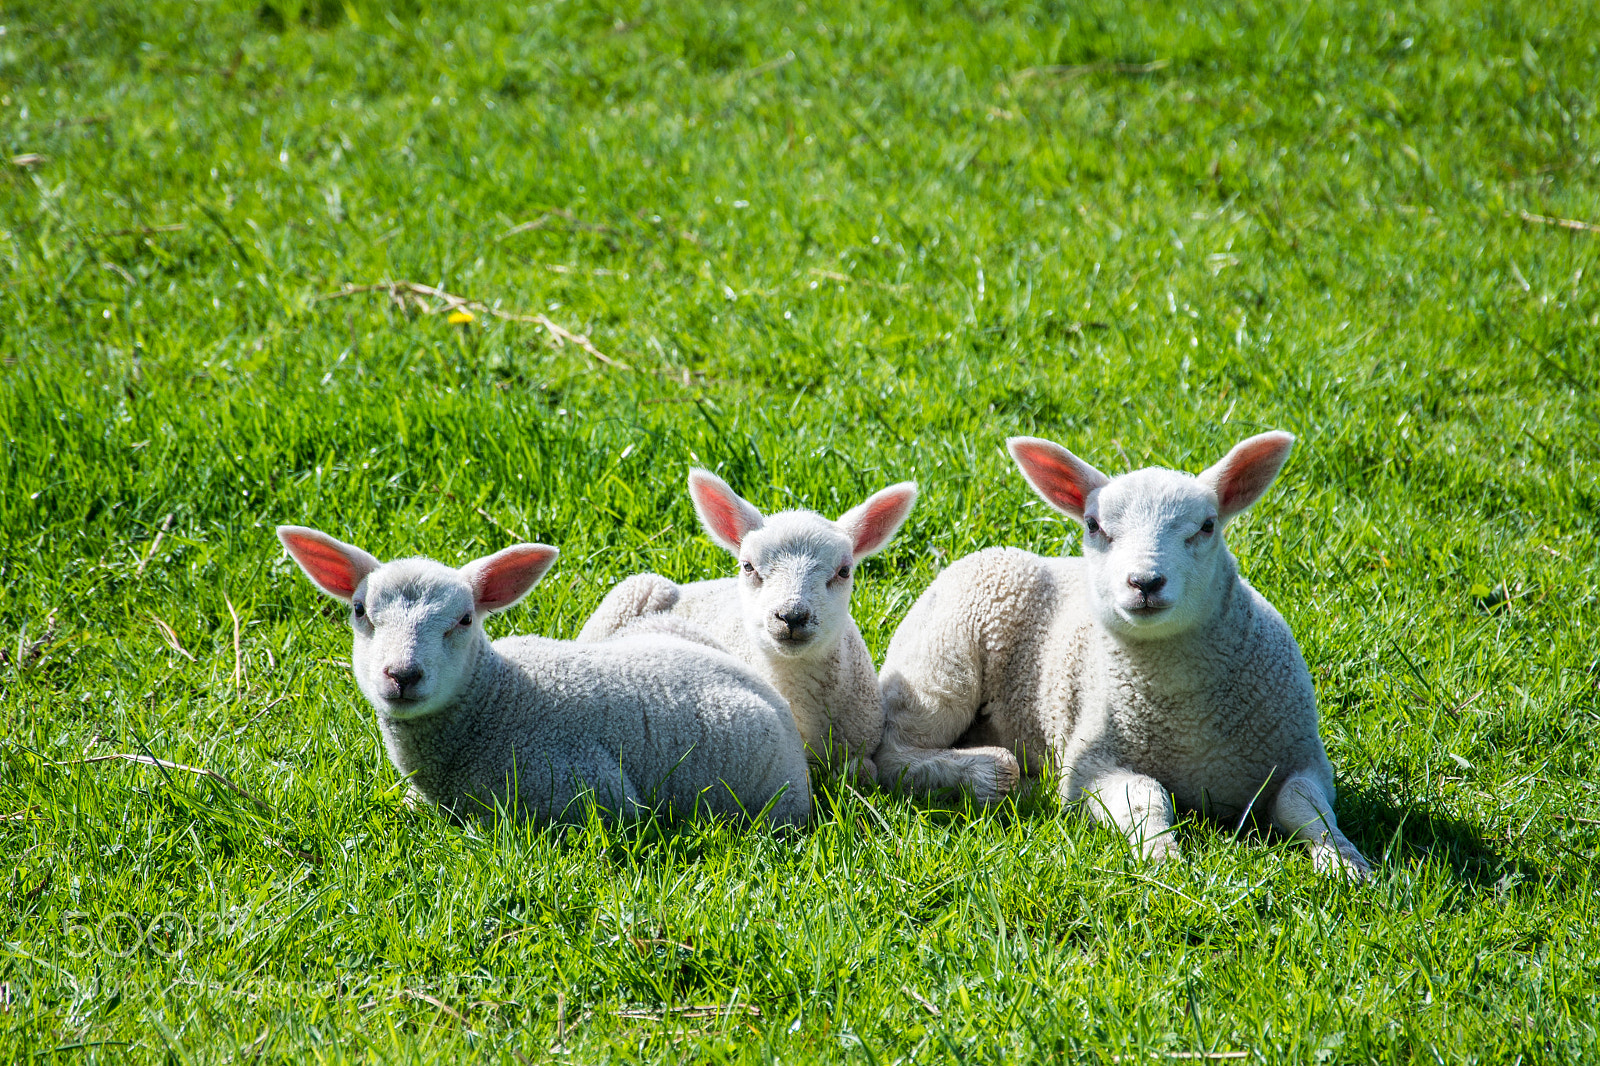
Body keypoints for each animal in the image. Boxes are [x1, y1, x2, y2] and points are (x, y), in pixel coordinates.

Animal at [874, 432, 1372, 879]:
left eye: (1207, 526)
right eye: (1094, 526)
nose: (1145, 582)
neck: (1189, 725)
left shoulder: (1304, 758)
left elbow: (1304, 806)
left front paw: (1344, 861)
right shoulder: (1091, 765)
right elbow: (1148, 796)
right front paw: (1161, 856)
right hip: (940, 664)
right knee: (893, 754)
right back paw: (990, 773)